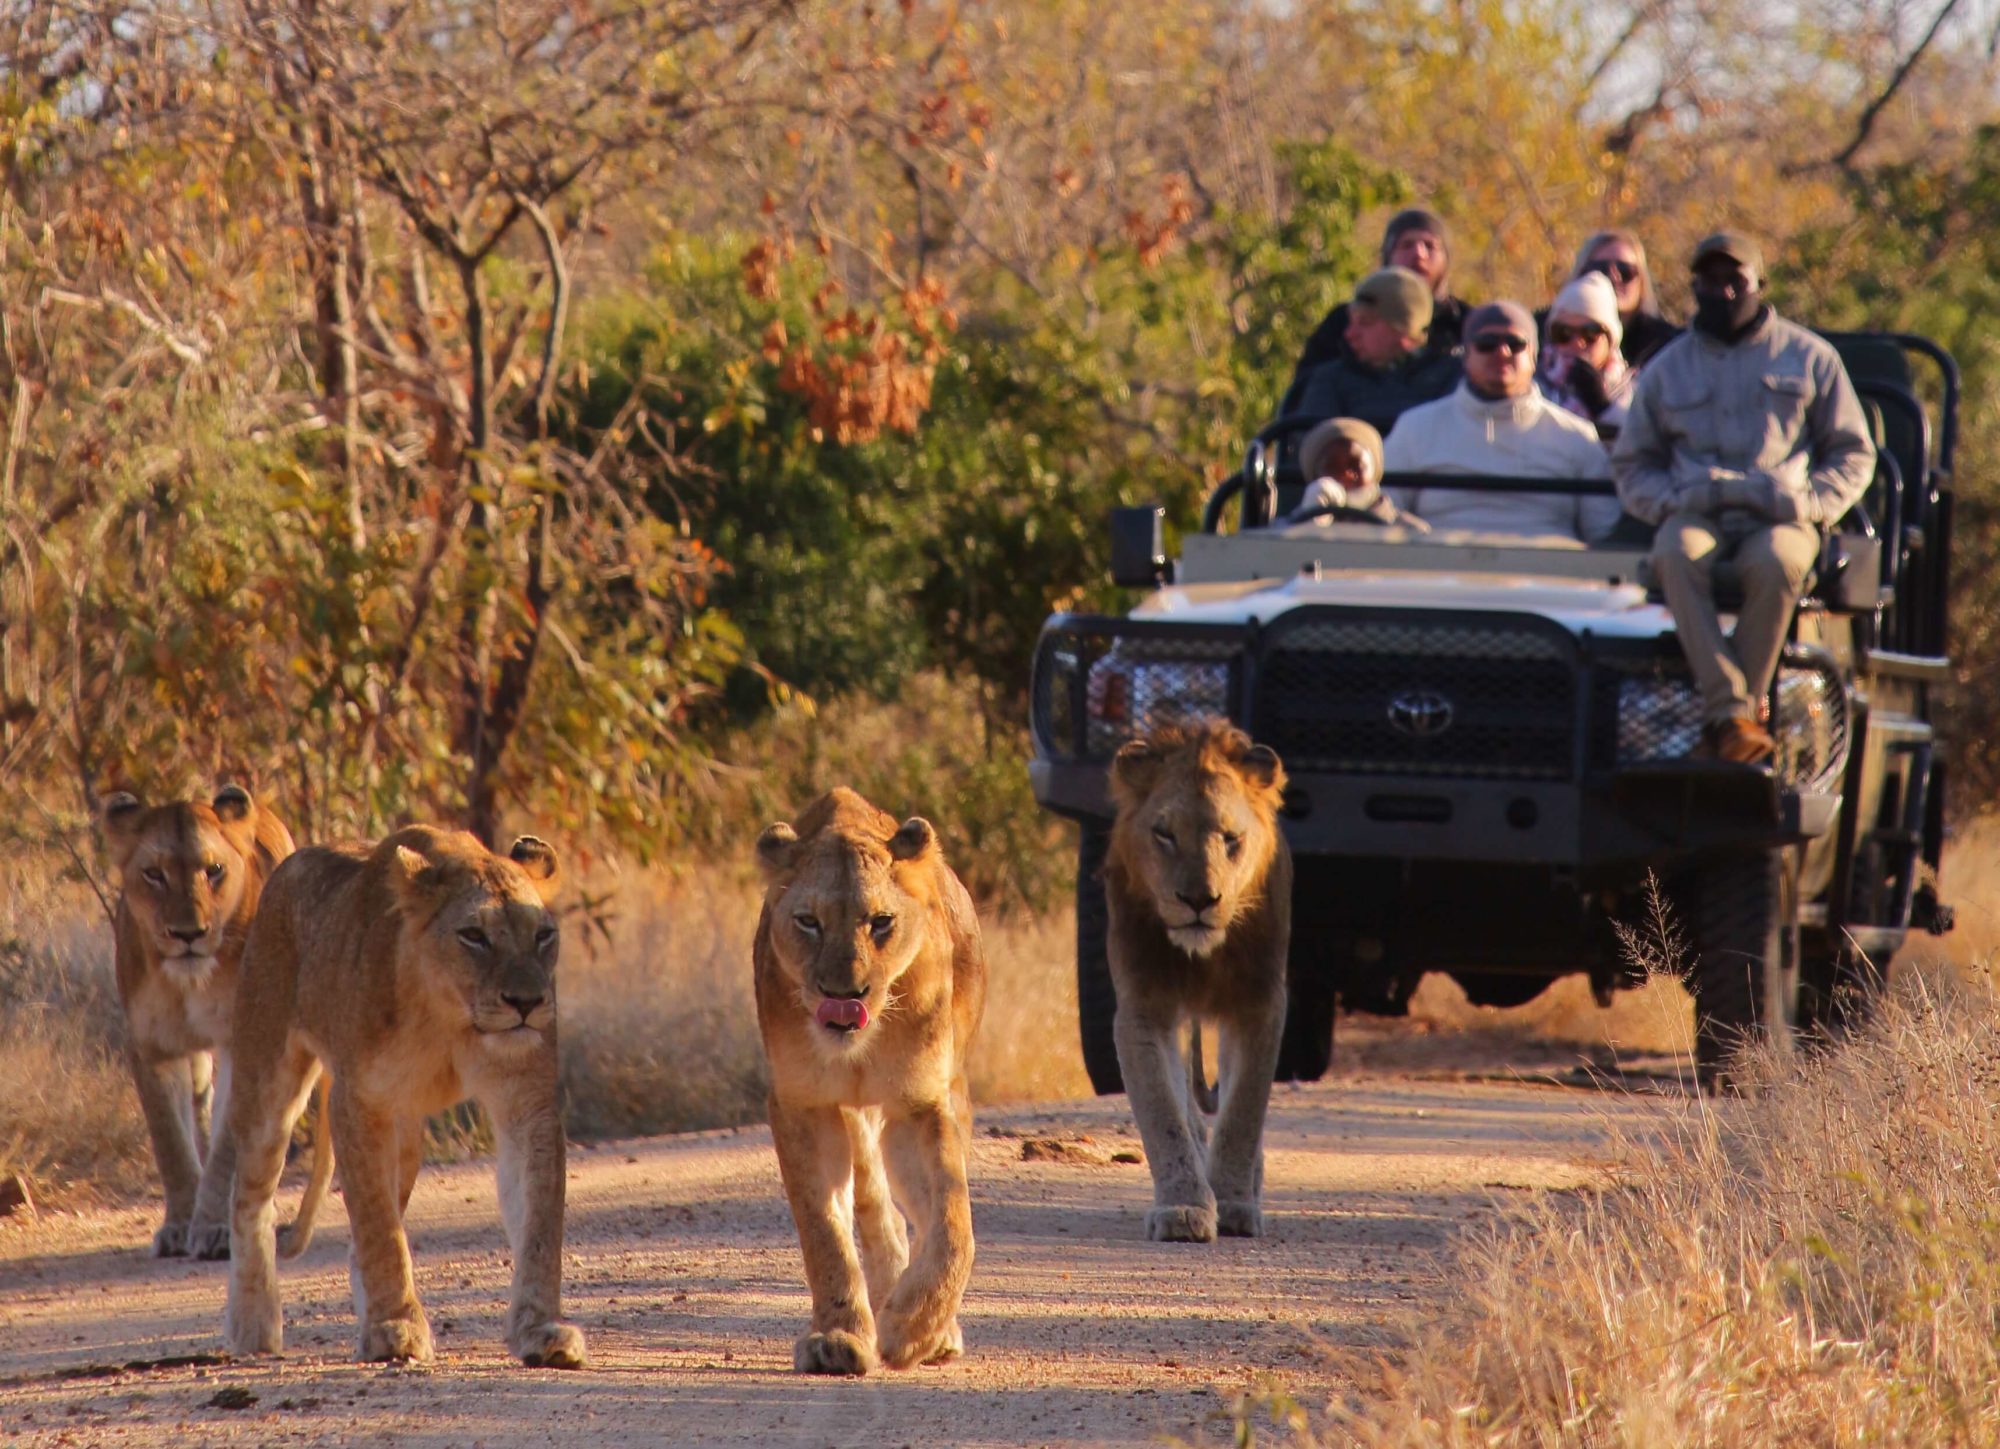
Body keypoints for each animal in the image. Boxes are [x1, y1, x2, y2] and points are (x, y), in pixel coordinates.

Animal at [103, 785, 295, 1258]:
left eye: (215, 870)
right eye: (153, 874)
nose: (187, 934)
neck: (190, 982)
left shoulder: (244, 1043)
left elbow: (228, 1149)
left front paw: (213, 1228)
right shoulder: (150, 1047)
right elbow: (170, 1142)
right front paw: (177, 1227)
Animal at [220, 825, 585, 1369]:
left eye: (543, 935)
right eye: (474, 936)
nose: (526, 1002)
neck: (450, 1012)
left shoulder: (527, 1102)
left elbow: (539, 1223)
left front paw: (540, 1329)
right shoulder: (357, 1102)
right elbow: (379, 1226)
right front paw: (396, 1328)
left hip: (407, 1134)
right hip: (267, 1077)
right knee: (250, 1198)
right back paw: (253, 1325)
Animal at [753, 787, 987, 1376]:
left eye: (880, 922)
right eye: (808, 922)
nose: (844, 994)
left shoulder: (921, 1103)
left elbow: (953, 1224)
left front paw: (913, 1327)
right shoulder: (803, 1105)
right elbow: (825, 1232)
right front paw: (838, 1338)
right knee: (874, 1207)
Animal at [1103, 720, 1291, 1243]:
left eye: (1231, 837)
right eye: (1164, 834)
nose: (1199, 900)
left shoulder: (1259, 1004)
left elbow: (1244, 1112)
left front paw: (1232, 1203)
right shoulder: (1143, 1008)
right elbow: (1163, 1114)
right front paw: (1184, 1208)